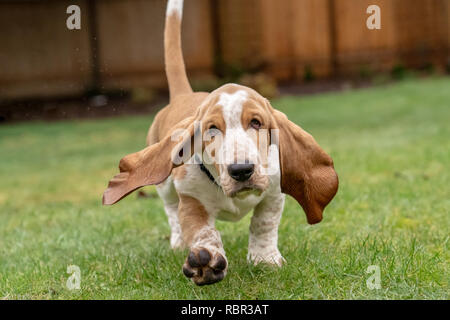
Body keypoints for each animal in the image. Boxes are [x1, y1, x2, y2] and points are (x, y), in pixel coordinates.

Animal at [104, 0, 338, 284]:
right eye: (212, 129)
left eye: (256, 123)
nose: (242, 171)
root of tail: (183, 95)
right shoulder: (191, 202)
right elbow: (203, 232)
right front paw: (205, 260)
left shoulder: (273, 193)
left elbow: (263, 224)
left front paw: (265, 260)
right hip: (165, 186)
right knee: (170, 209)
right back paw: (178, 242)